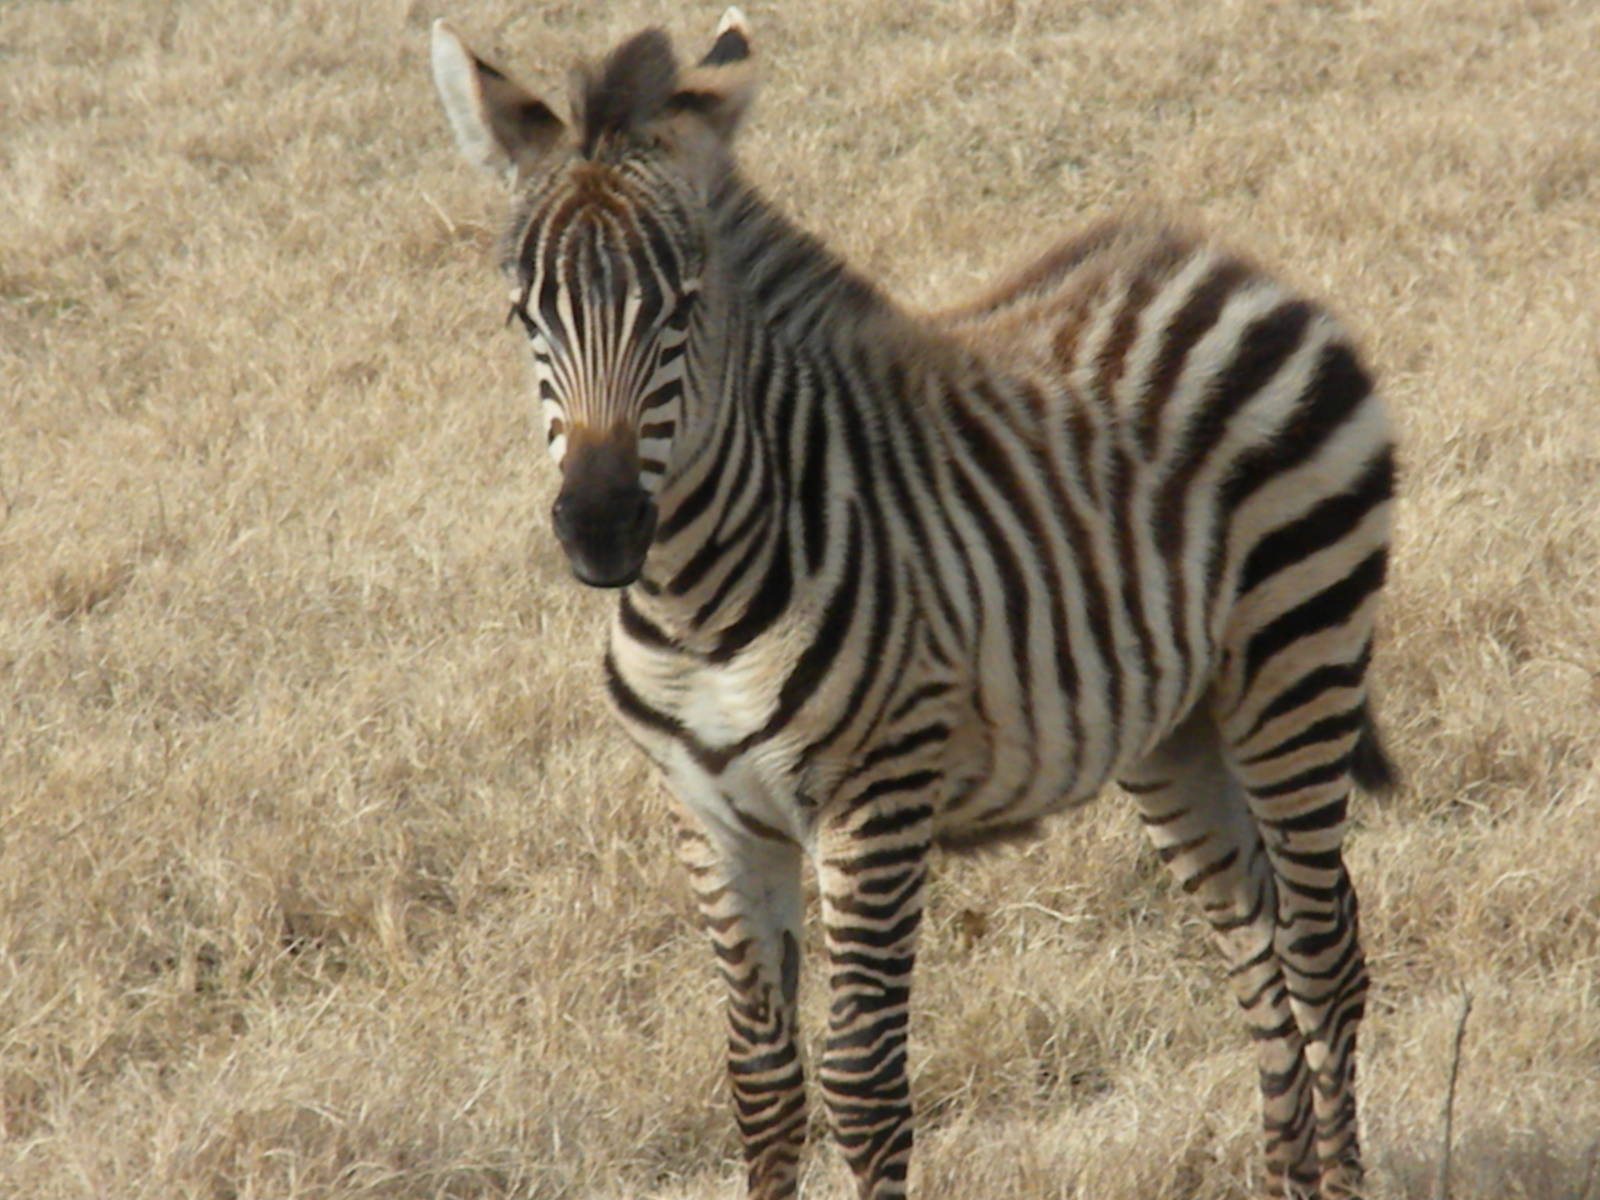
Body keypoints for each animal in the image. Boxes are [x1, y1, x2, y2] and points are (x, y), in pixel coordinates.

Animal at [430, 11, 1395, 1200]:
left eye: (683, 312)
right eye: (525, 315)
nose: (601, 530)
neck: (695, 605)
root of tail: (1238, 269)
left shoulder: (875, 799)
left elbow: (862, 1084)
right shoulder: (712, 818)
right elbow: (761, 1086)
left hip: (1296, 660)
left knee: (1320, 953)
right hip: (1177, 728)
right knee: (1253, 946)